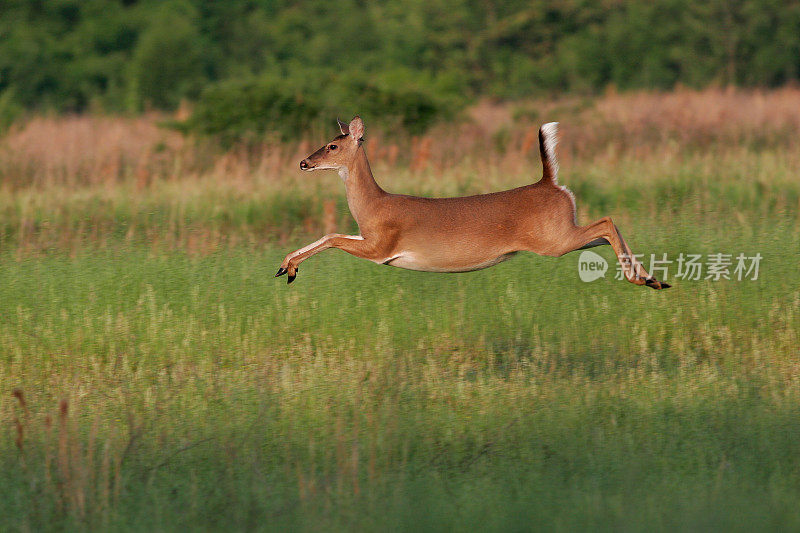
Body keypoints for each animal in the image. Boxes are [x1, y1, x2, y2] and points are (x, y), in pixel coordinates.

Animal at [276, 116, 668, 288]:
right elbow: (328, 235)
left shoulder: (381, 247)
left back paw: (644, 280)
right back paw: (650, 278)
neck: (374, 206)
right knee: (604, 230)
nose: (303, 162)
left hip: (553, 239)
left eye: (332, 145)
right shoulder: (369, 238)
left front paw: (288, 269)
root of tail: (550, 183)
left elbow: (332, 239)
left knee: (606, 221)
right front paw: (285, 267)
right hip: (560, 233)